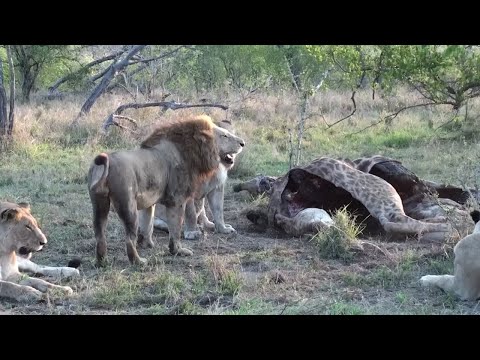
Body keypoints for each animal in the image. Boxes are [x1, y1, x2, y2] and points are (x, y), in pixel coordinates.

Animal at [87, 114, 244, 266]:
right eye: (225, 136)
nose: (243, 143)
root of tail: (108, 163)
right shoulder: (178, 200)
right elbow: (177, 228)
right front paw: (178, 250)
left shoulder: (150, 202)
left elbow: (147, 224)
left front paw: (147, 244)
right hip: (128, 206)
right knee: (129, 239)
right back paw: (139, 262)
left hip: (99, 205)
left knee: (100, 235)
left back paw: (102, 262)